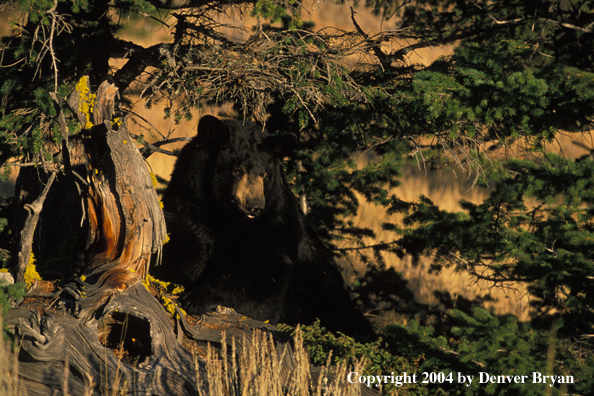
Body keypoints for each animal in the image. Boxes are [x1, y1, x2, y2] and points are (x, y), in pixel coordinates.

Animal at [153, 114, 372, 338]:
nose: (255, 205)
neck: (222, 215)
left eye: (265, 175)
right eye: (237, 171)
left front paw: (197, 297)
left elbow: (266, 280)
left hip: (326, 291)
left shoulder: (272, 226)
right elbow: (175, 243)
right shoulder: (186, 204)